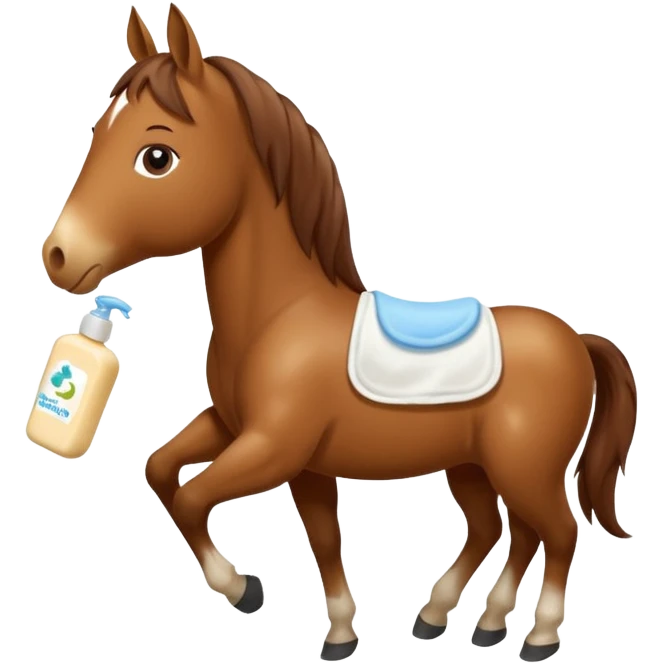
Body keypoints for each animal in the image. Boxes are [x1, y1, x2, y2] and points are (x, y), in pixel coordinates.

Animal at [40, 4, 639, 662]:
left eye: (156, 157)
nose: (59, 257)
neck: (280, 318)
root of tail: (577, 340)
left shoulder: (271, 448)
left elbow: (196, 498)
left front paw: (244, 590)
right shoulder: (249, 436)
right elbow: (189, 483)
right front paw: (340, 633)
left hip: (524, 469)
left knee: (558, 530)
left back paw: (537, 635)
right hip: (473, 465)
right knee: (505, 529)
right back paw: (458, 620)